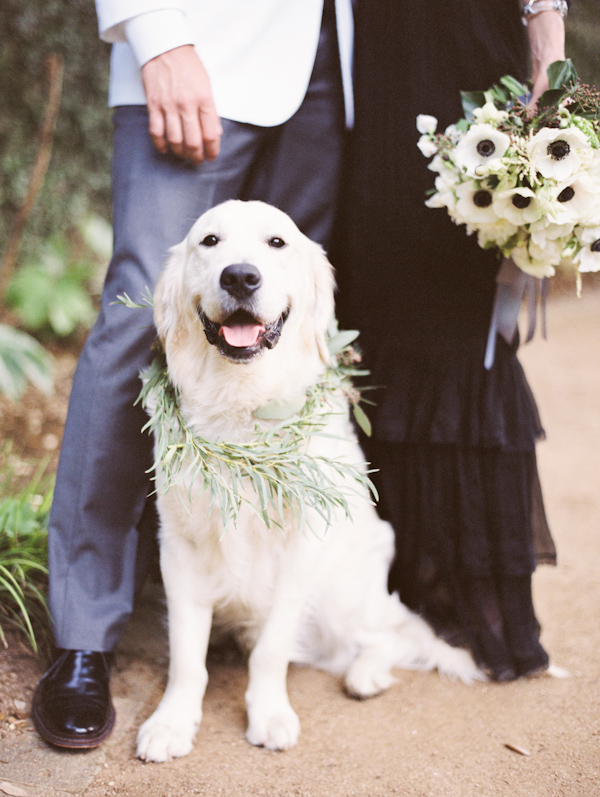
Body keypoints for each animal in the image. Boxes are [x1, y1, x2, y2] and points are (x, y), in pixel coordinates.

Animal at [137, 197, 482, 760]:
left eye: (277, 242)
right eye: (209, 241)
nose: (240, 276)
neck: (245, 409)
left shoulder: (302, 548)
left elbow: (273, 649)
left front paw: (269, 713)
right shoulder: (181, 548)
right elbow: (187, 657)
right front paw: (172, 722)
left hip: (347, 592)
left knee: (389, 633)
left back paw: (366, 674)